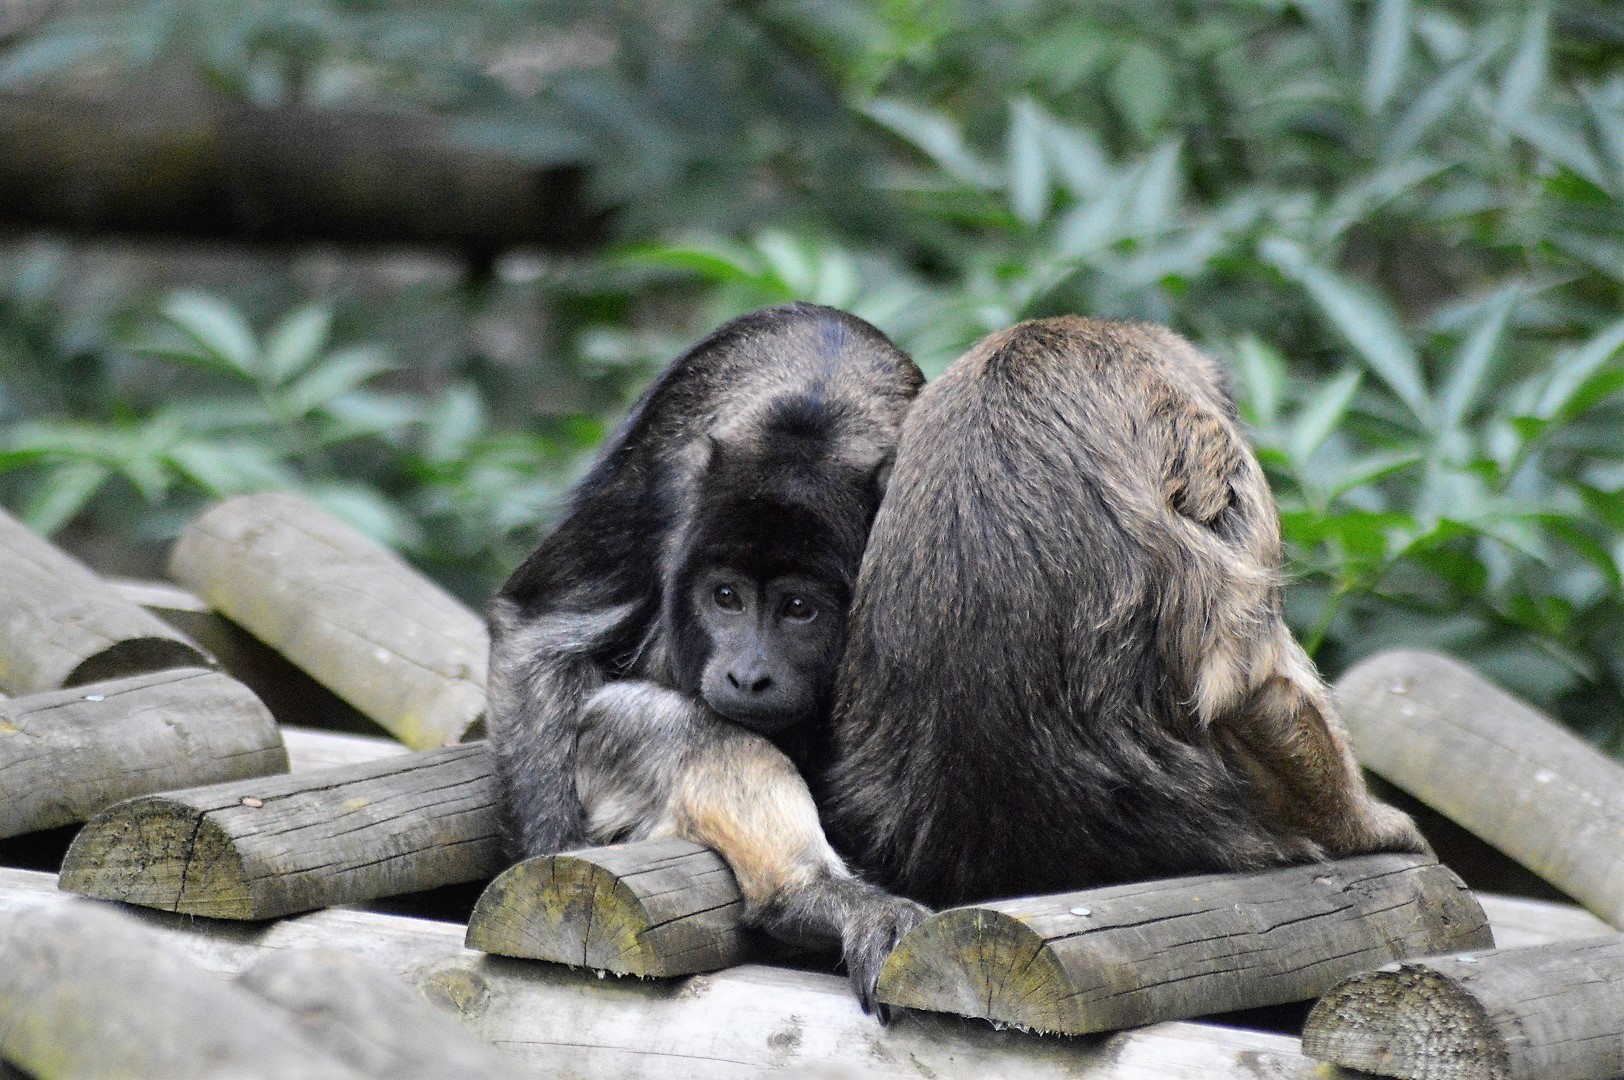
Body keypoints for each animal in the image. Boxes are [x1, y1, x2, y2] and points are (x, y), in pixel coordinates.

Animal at [485, 302, 929, 1012]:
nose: (747, 675)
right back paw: (807, 895)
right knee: (672, 724)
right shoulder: (660, 493)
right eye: (726, 597)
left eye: (799, 609)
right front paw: (549, 855)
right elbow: (540, 628)